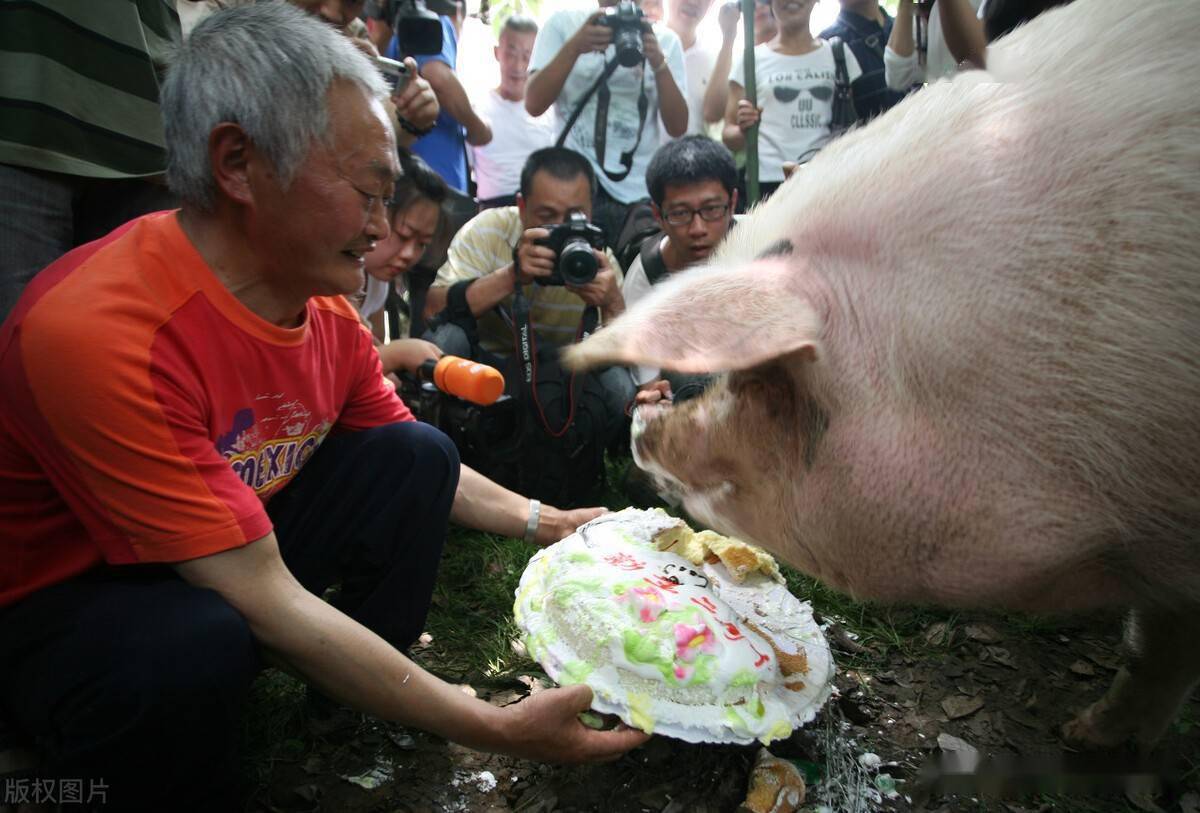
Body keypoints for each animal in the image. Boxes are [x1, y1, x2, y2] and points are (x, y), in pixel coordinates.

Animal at [564, 0, 1200, 753]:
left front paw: (1083, 738)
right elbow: (1155, 644)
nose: (646, 404)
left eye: (732, 375)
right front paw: (1086, 734)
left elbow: (1156, 645)